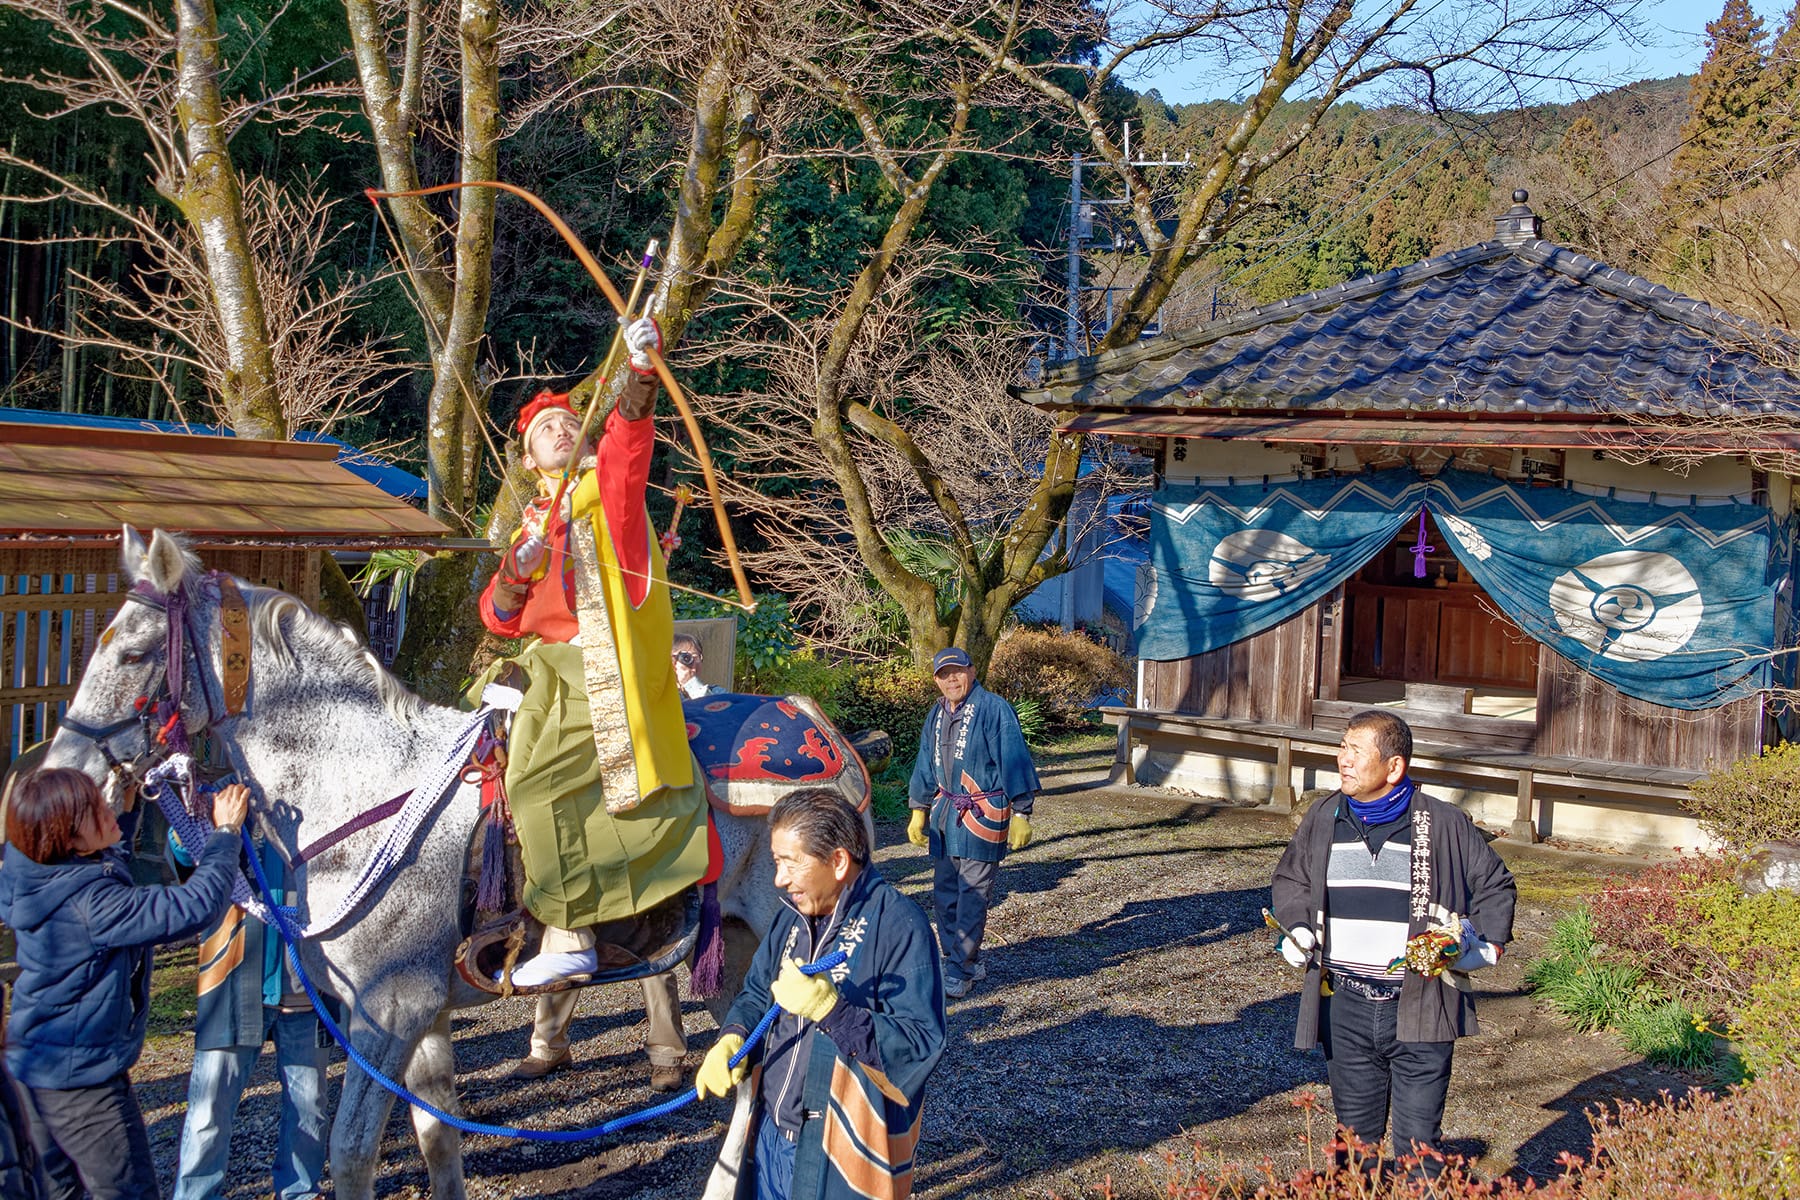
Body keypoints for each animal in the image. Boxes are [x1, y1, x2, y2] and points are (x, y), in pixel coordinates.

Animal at [42, 532, 856, 1200]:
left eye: (133, 653)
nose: (67, 771)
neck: (366, 785)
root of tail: (815, 724)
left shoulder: (388, 1008)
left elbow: (352, 1151)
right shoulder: (422, 1012)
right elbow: (438, 1136)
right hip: (744, 949)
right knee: (746, 1069)